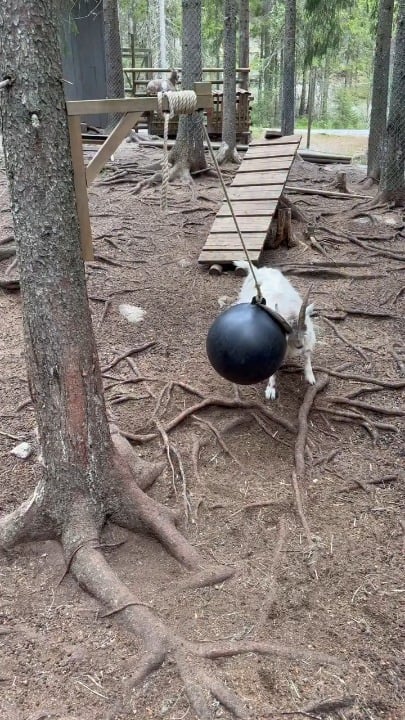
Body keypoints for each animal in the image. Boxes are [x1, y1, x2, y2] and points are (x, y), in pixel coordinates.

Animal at [234, 261, 316, 400]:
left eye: (304, 326)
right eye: (286, 332)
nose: (299, 345)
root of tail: (257, 270)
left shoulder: (308, 337)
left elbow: (307, 353)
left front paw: (310, 377)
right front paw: (270, 390)